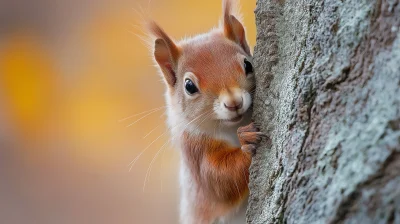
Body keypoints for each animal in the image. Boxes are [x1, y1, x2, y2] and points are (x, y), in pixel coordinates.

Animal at [147, 0, 262, 223]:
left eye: (248, 64)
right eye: (189, 86)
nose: (234, 102)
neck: (231, 128)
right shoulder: (194, 151)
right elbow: (218, 179)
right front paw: (246, 140)